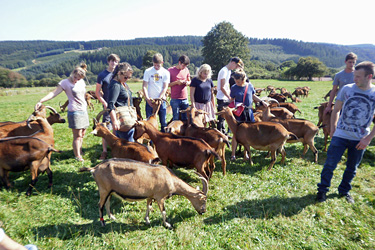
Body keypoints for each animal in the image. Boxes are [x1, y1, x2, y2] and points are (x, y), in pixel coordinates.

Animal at [79, 158, 209, 229]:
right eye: (203, 199)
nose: (203, 211)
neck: (170, 179)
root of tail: (94, 169)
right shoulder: (160, 197)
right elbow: (163, 211)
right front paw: (167, 225)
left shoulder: (150, 195)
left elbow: (148, 206)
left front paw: (147, 220)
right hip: (104, 189)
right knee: (100, 205)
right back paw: (103, 223)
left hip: (109, 191)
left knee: (107, 203)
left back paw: (112, 217)